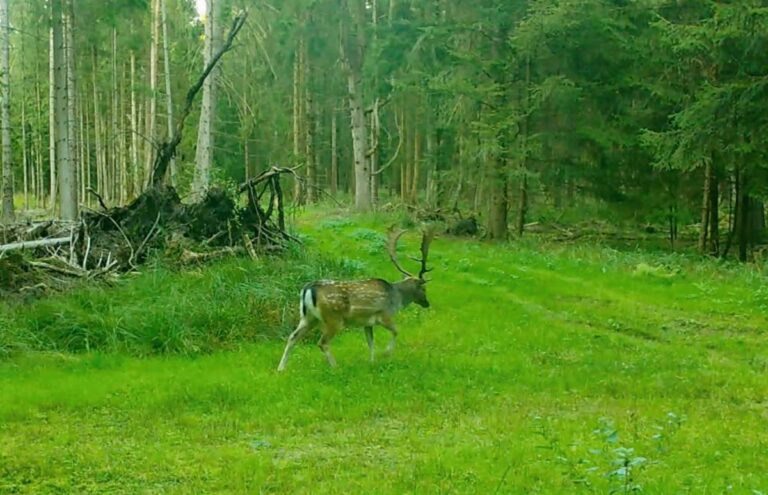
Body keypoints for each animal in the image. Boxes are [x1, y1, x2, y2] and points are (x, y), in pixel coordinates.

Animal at [277, 227, 434, 371]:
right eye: (424, 289)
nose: (427, 303)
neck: (396, 298)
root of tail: (308, 289)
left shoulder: (367, 322)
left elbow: (371, 342)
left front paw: (372, 362)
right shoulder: (384, 314)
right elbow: (396, 331)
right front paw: (386, 353)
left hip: (308, 317)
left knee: (293, 337)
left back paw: (281, 368)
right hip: (333, 318)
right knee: (322, 342)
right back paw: (335, 367)